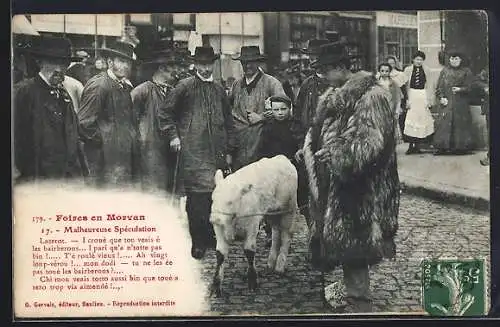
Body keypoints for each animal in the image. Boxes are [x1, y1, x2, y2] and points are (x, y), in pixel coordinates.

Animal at [209, 156, 298, 298]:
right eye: (213, 199)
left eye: (230, 202)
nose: (214, 218)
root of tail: (282, 158)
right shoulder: (219, 229)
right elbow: (220, 254)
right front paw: (216, 287)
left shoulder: (252, 225)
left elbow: (249, 251)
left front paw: (252, 282)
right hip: (272, 213)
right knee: (276, 234)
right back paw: (270, 263)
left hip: (288, 210)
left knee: (286, 235)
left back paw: (279, 266)